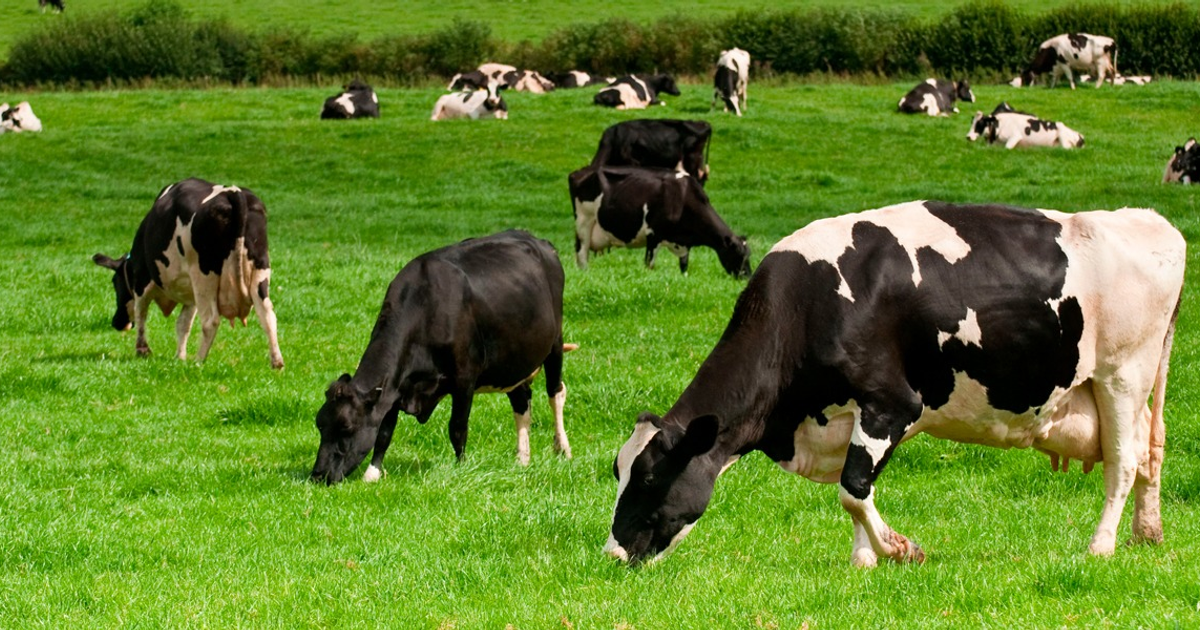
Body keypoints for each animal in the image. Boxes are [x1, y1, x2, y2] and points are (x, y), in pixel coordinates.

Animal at [91, 178, 284, 370]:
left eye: (115, 282)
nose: (116, 322)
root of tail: (233, 192)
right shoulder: (190, 294)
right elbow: (183, 324)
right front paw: (179, 356)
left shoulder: (141, 281)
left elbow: (141, 314)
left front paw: (142, 351)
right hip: (259, 269)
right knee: (268, 315)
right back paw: (277, 363)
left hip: (204, 275)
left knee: (211, 320)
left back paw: (198, 360)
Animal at [310, 230, 573, 484]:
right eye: (320, 424)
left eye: (347, 427)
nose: (318, 475)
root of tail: (539, 241)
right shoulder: (395, 385)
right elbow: (384, 432)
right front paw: (372, 473)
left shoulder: (465, 379)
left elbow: (457, 427)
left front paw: (462, 468)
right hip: (513, 362)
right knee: (522, 402)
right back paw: (522, 459)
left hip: (555, 343)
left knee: (556, 392)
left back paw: (562, 448)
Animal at [569, 165, 751, 277]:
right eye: (739, 255)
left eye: (749, 254)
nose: (747, 277)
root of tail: (579, 172)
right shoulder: (653, 235)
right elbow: (649, 264)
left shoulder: (684, 243)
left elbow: (684, 267)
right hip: (584, 223)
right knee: (582, 255)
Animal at [606, 200, 1185, 567]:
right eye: (618, 470)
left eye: (650, 477)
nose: (612, 554)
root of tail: (1152, 221)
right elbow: (858, 487)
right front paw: (864, 559)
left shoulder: (892, 402)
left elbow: (853, 488)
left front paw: (899, 550)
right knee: (1149, 453)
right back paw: (1146, 534)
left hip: (1122, 376)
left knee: (1123, 462)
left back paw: (1101, 546)